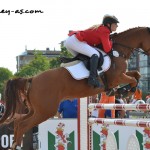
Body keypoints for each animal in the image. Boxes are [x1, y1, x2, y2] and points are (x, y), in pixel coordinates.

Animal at [0, 26, 150, 149]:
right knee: (24, 124)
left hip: (35, 110)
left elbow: (136, 74)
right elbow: (133, 78)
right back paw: (15, 146)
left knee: (18, 122)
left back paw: (14, 144)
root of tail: (31, 79)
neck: (118, 51)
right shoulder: (117, 77)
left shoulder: (122, 75)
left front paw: (122, 90)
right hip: (45, 111)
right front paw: (125, 91)